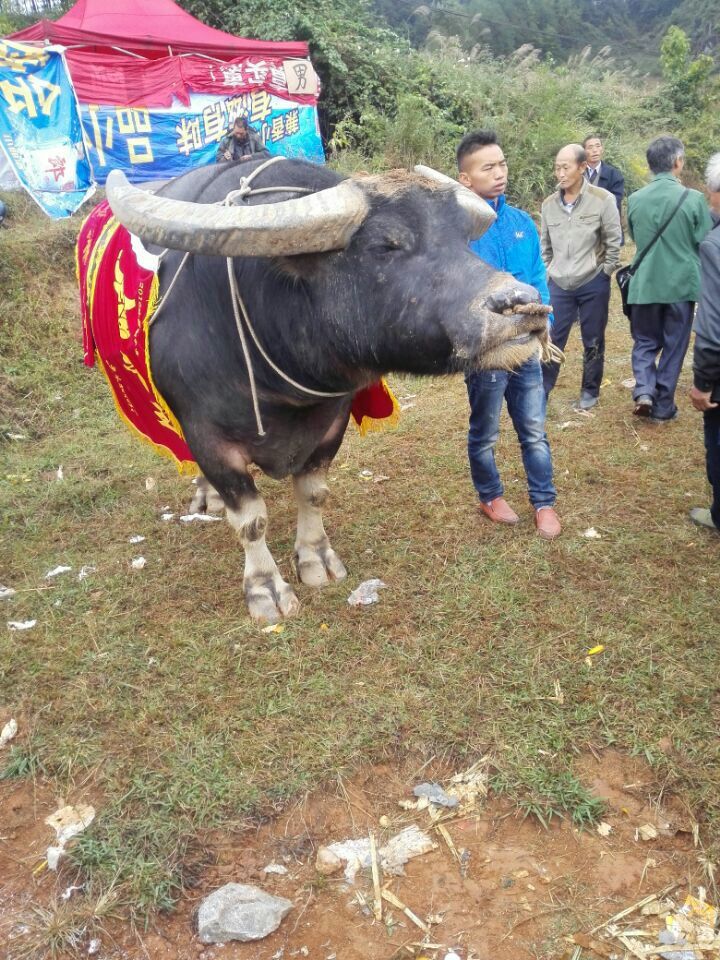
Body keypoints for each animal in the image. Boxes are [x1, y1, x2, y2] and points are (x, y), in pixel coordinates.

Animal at [105, 158, 544, 624]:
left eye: (463, 238)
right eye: (386, 245)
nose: (522, 304)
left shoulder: (332, 420)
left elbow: (313, 493)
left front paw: (316, 557)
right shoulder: (208, 434)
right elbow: (251, 519)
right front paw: (265, 587)